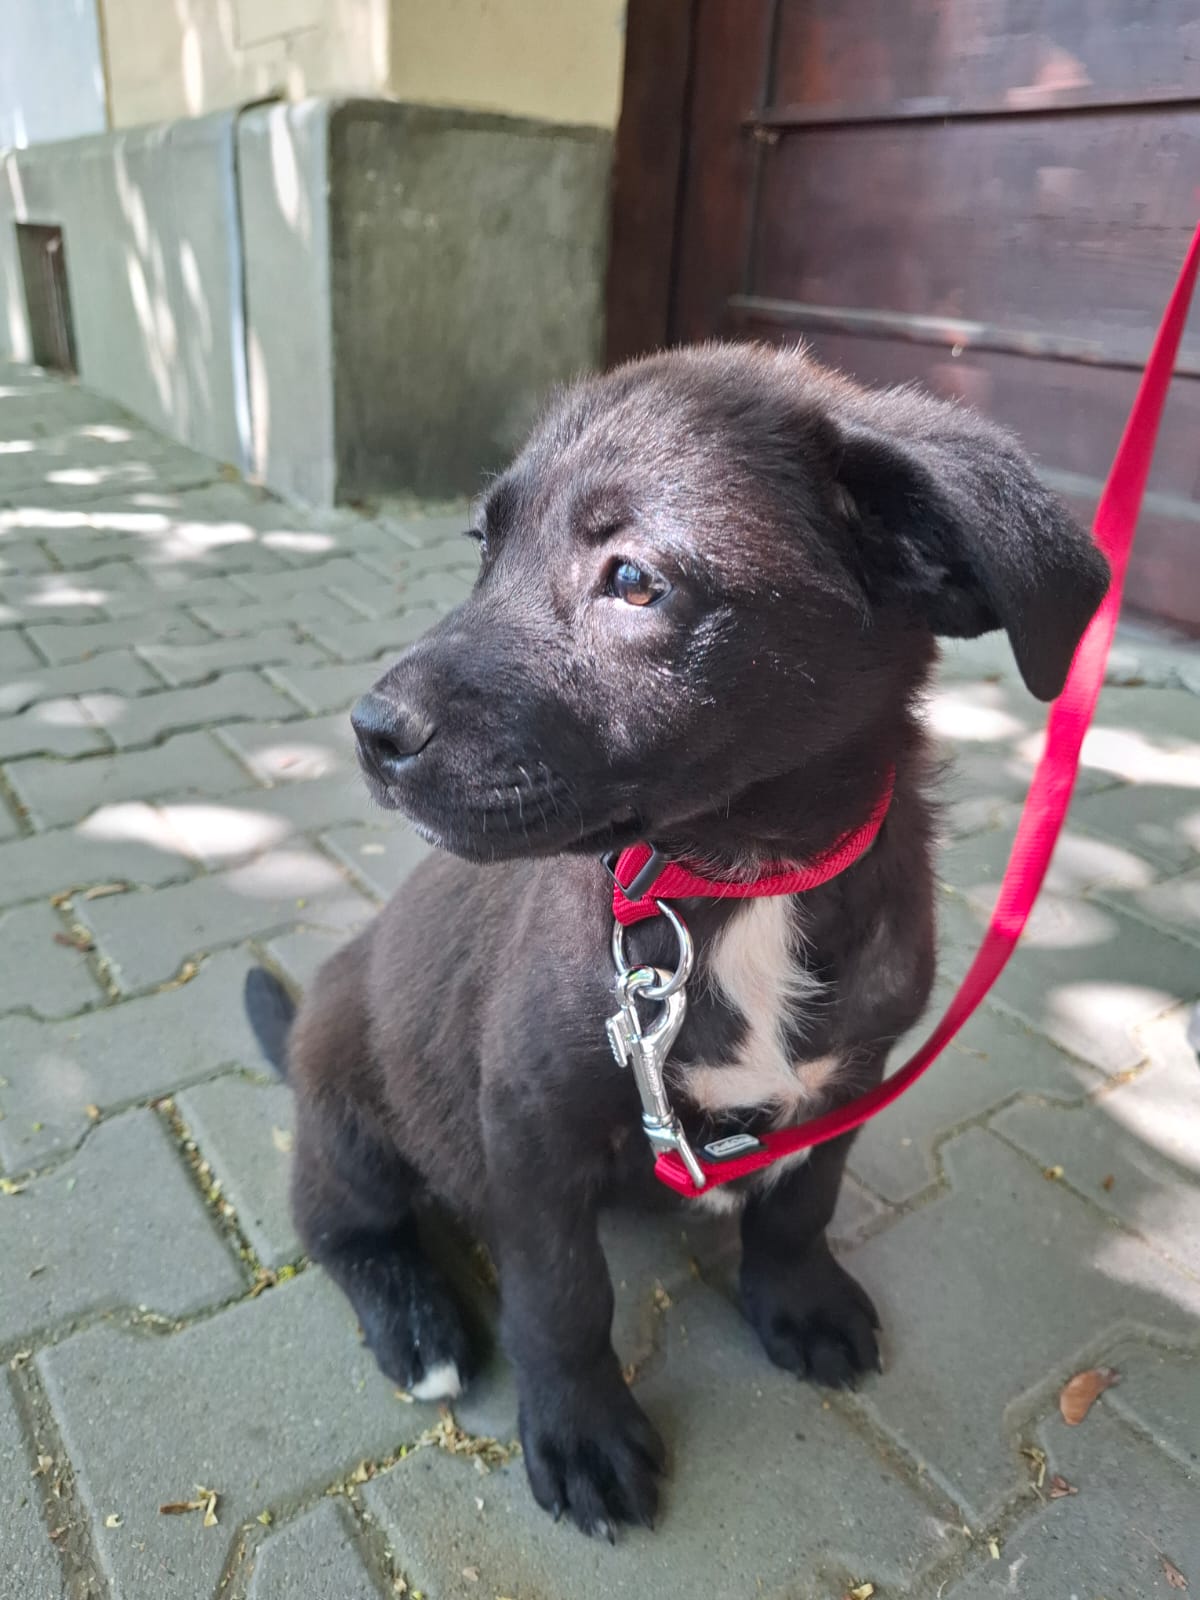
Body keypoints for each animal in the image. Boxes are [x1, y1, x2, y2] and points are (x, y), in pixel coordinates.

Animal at [245, 342, 1108, 1537]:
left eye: (635, 581)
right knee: (340, 1226)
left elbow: (801, 1205)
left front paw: (797, 1301)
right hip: (352, 1118)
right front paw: (581, 1430)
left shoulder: (852, 1079)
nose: (373, 733)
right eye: (485, 546)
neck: (740, 880)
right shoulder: (530, 1119)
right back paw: (417, 1323)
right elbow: (562, 1294)